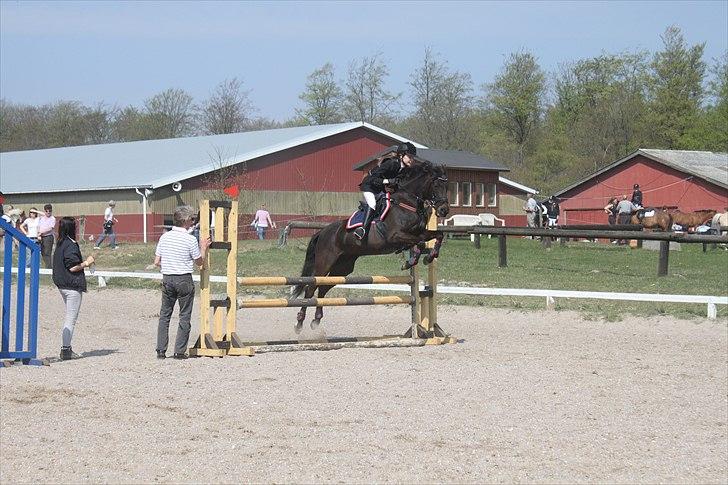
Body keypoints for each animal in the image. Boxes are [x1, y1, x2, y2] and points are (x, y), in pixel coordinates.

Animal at [291, 161, 450, 331]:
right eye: (436, 185)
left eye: (447, 186)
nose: (444, 210)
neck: (407, 203)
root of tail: (323, 232)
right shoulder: (395, 236)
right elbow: (419, 243)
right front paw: (410, 262)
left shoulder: (420, 233)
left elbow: (437, 235)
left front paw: (429, 257)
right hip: (325, 262)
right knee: (311, 288)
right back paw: (299, 322)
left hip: (343, 266)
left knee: (323, 287)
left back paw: (316, 319)